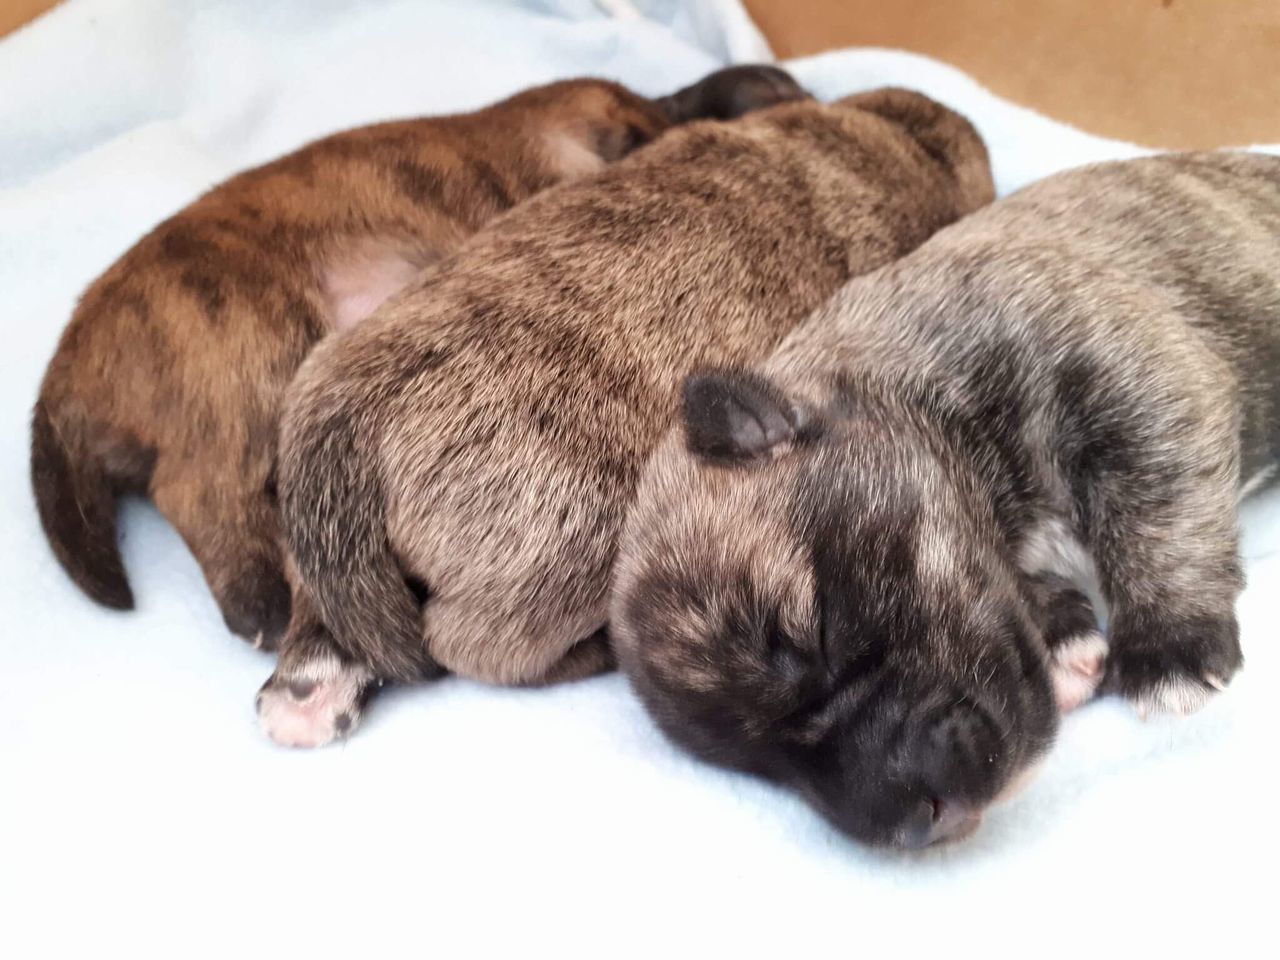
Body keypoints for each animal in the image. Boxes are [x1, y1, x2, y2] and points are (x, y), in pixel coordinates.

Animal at [611, 154, 1280, 855]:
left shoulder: (1131, 373)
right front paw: (1063, 632)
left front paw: (1170, 647)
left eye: (818, 634)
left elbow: (1157, 503)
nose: (914, 822)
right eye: (757, 765)